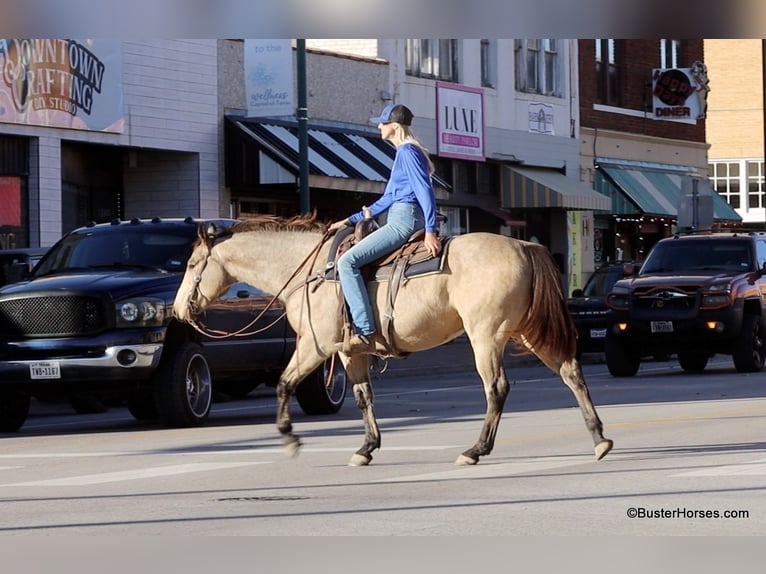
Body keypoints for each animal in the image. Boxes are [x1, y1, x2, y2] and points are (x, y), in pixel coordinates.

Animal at [173, 213, 613, 466]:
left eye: (193, 264)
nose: (177, 311)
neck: (311, 272)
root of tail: (523, 244)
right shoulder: (350, 353)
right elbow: (363, 397)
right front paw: (367, 447)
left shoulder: (315, 347)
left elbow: (284, 384)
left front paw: (290, 439)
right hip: (525, 331)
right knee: (571, 372)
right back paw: (599, 439)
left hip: (486, 336)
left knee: (497, 389)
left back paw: (475, 450)